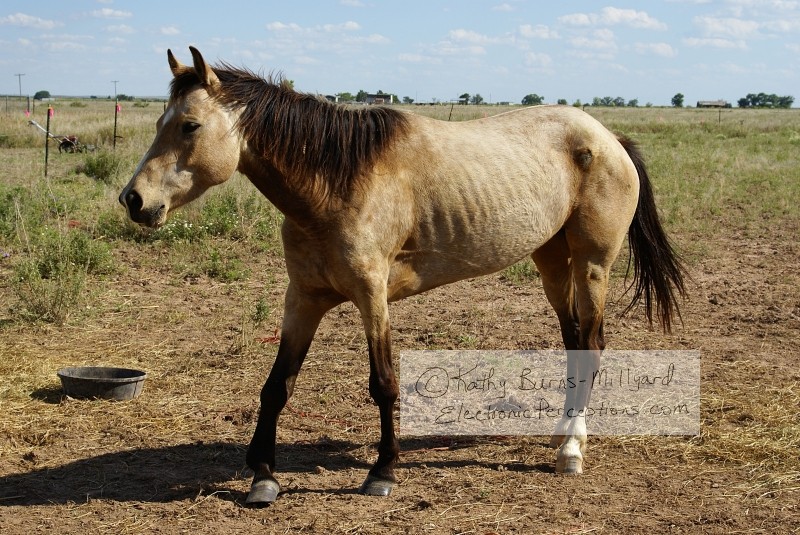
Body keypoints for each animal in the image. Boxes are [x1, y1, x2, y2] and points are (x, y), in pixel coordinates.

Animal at [119, 47, 686, 506]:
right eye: (161, 122)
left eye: (190, 125)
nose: (134, 200)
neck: (334, 185)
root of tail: (608, 137)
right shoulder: (303, 298)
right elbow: (278, 384)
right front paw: (263, 474)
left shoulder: (373, 297)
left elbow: (384, 382)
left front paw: (383, 471)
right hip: (551, 261)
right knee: (572, 340)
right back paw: (560, 432)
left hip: (592, 264)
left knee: (590, 342)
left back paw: (571, 448)